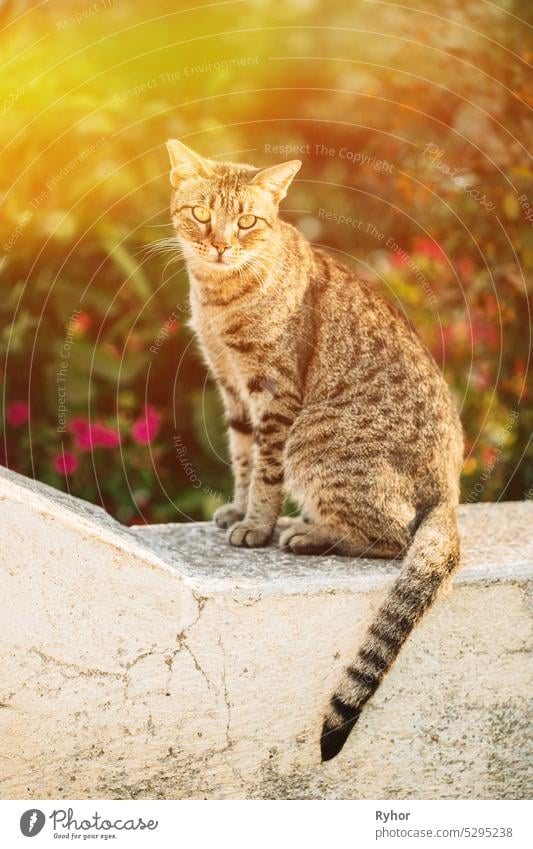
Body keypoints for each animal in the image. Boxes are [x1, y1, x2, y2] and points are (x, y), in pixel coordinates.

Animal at [165, 139, 462, 760]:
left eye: (247, 221)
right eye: (202, 214)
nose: (220, 244)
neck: (219, 296)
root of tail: (449, 491)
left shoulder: (275, 395)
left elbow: (266, 471)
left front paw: (256, 525)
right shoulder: (232, 389)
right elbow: (242, 458)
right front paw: (237, 509)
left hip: (315, 441)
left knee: (395, 537)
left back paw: (308, 533)